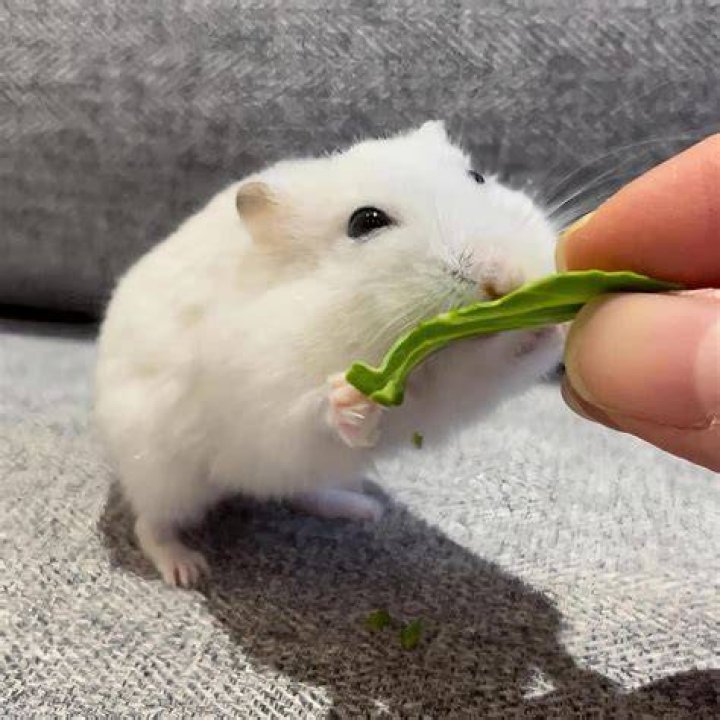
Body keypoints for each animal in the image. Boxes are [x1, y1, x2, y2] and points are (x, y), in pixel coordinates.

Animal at [94, 121, 563, 587]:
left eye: (477, 177)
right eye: (365, 222)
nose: (504, 280)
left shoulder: (465, 381)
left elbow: (511, 357)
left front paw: (551, 321)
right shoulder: (266, 401)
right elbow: (312, 412)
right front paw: (353, 403)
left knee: (299, 489)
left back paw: (362, 508)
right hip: (163, 474)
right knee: (151, 524)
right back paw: (186, 570)